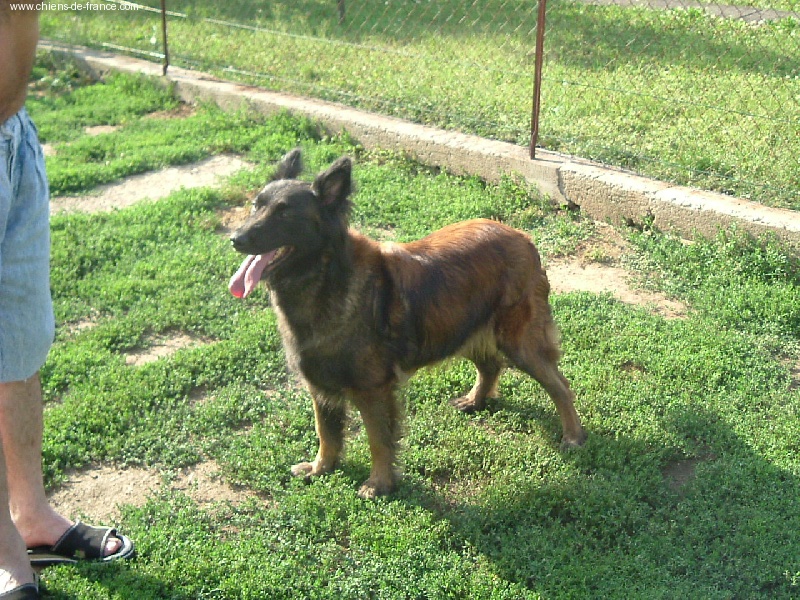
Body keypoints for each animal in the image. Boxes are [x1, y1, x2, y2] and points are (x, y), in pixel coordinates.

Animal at [231, 149, 588, 496]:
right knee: (491, 366)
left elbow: (378, 440)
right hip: (459, 328)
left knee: (560, 386)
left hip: (518, 342)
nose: (236, 238)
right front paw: (321, 469)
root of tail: (522, 237)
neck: (326, 276)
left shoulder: (373, 389)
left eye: (284, 214)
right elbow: (326, 433)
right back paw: (475, 400)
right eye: (257, 205)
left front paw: (379, 484)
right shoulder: (320, 382)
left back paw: (573, 436)